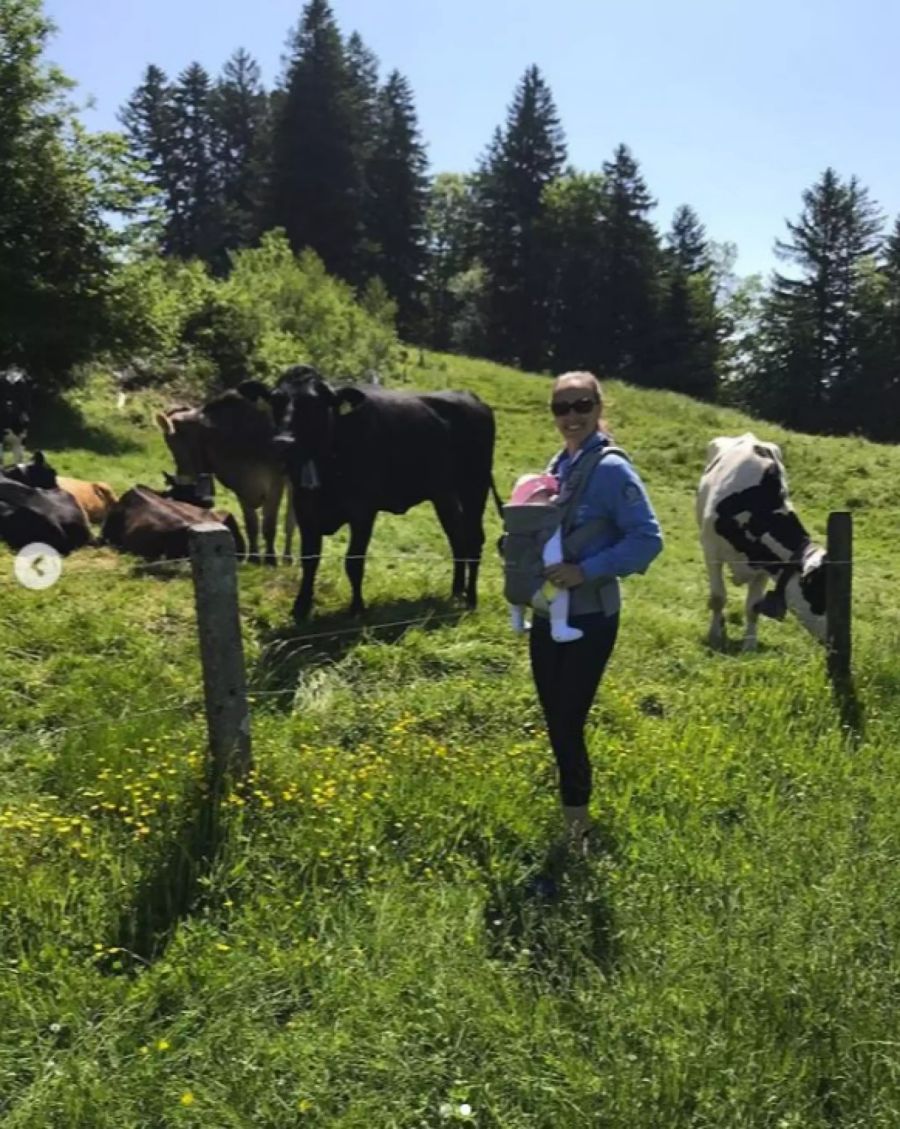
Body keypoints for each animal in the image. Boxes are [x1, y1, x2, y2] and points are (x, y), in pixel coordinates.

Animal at [155, 390, 293, 562]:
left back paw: (288, 556)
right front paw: (253, 557)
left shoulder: (275, 482)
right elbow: (251, 524)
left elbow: (269, 524)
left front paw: (270, 559)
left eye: (173, 445)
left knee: (291, 520)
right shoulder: (241, 485)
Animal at [238, 365, 501, 623]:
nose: (283, 442)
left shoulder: (363, 511)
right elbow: (310, 559)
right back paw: (456, 592)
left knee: (474, 540)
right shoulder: (305, 507)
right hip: (444, 495)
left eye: (314, 403)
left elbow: (354, 561)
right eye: (276, 400)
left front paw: (357, 609)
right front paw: (301, 608)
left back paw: (470, 599)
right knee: (457, 539)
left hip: (474, 488)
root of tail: (472, 398)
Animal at [695, 431, 826, 650]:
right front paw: (714, 636)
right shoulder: (711, 551)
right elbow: (718, 597)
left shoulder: (765, 567)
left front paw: (750, 646)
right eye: (818, 591)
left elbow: (753, 608)